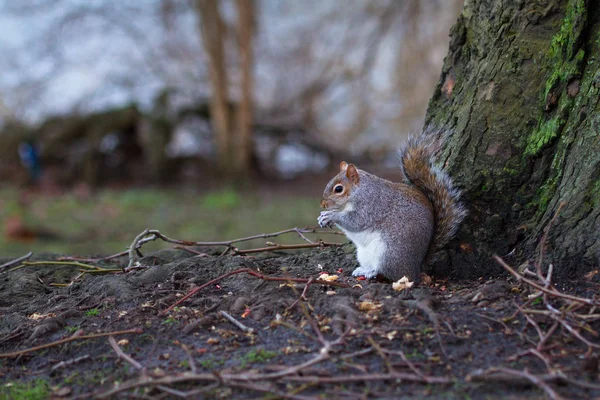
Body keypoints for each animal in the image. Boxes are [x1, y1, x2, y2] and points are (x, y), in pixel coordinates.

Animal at [316, 131, 466, 282]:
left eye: (338, 189)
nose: (323, 204)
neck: (358, 192)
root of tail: (416, 268)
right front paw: (322, 217)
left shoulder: (370, 205)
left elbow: (355, 221)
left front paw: (331, 216)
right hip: (366, 254)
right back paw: (363, 269)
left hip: (389, 253)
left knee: (388, 272)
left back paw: (371, 272)